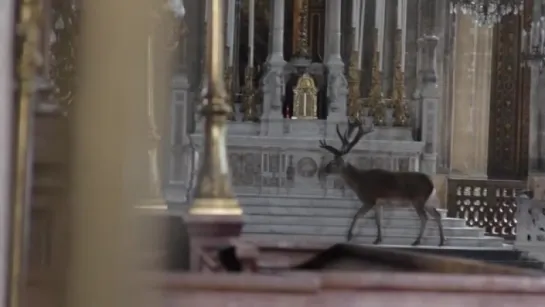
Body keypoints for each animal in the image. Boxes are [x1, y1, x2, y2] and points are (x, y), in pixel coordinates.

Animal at [316, 120, 444, 248]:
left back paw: (417, 241)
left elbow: (357, 215)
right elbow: (378, 221)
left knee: (424, 218)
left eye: (333, 162)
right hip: (427, 202)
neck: (359, 182)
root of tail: (432, 184)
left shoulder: (369, 199)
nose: (324, 169)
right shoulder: (379, 203)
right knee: (437, 215)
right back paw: (441, 241)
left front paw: (349, 236)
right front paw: (378, 239)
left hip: (418, 199)